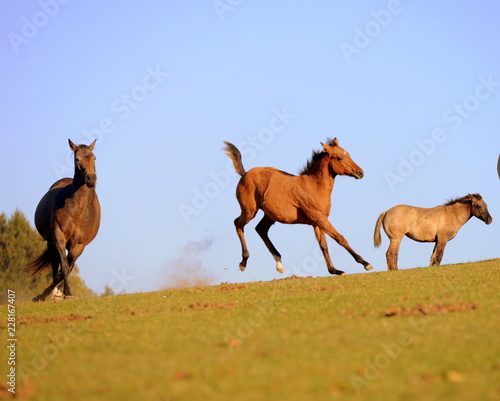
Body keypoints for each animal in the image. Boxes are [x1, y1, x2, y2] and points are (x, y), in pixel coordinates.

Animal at [28, 139, 101, 298]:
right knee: (56, 263)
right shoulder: (58, 237)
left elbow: (68, 267)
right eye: (77, 159)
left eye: (94, 158)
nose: (91, 179)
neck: (79, 211)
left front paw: (61, 293)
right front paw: (63, 293)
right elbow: (63, 266)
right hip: (51, 242)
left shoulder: (79, 245)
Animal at [225, 138, 374, 276]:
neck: (314, 186)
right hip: (249, 211)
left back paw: (279, 263)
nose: (360, 172)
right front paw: (365, 264)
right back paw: (243, 262)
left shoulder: (317, 222)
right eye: (340, 157)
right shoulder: (320, 218)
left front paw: (334, 270)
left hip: (270, 215)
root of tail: (245, 174)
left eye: (349, 154)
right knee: (238, 224)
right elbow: (340, 238)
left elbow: (323, 245)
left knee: (261, 229)